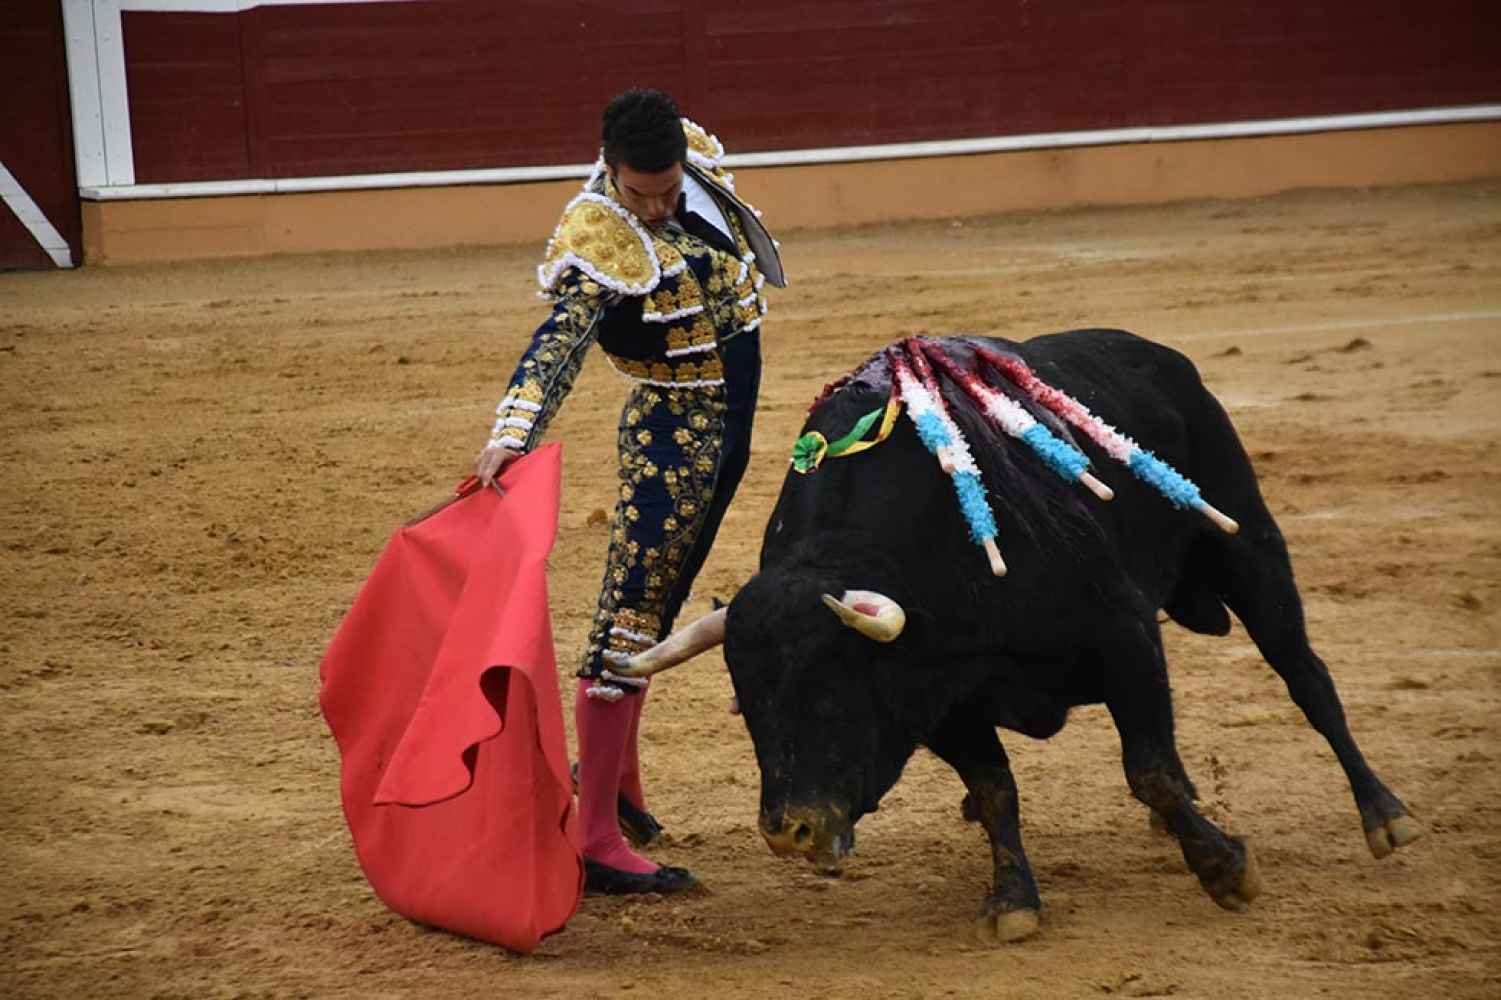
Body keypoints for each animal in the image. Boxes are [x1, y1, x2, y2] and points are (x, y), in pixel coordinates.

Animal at [609, 328, 1416, 942]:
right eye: (747, 709)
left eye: (831, 694)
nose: (788, 832)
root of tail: (1162, 357)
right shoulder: (940, 696)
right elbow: (997, 789)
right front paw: (1014, 902)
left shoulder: (1123, 638)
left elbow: (1148, 771)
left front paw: (1225, 870)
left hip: (1247, 546)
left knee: (1305, 677)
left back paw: (1386, 817)